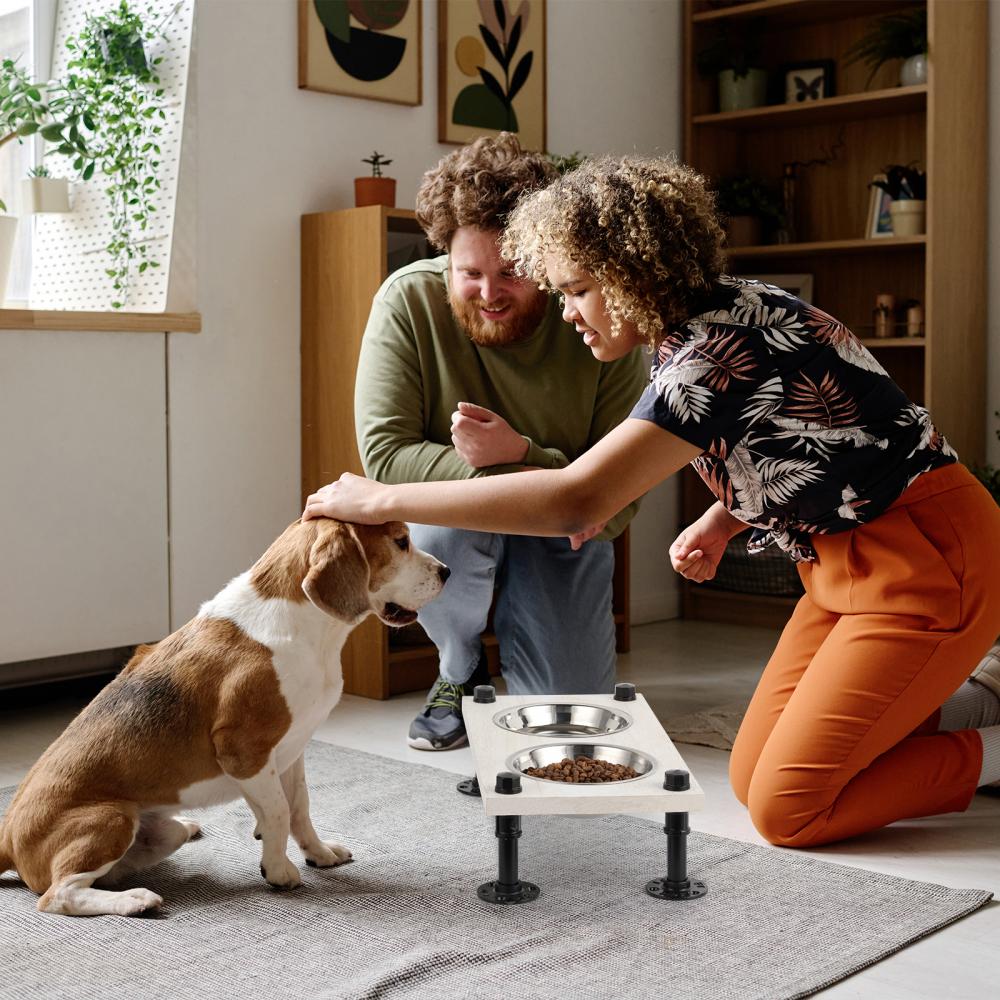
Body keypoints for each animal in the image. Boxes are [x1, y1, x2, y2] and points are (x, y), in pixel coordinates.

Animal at [0, 520, 448, 916]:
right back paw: (134, 901)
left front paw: (318, 854)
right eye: (401, 542)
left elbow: (299, 808)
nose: (446, 571)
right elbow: (279, 812)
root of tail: (7, 837)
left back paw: (176, 837)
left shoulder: (292, 749)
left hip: (161, 832)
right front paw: (279, 869)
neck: (304, 626)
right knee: (59, 895)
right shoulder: (245, 752)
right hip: (112, 818)